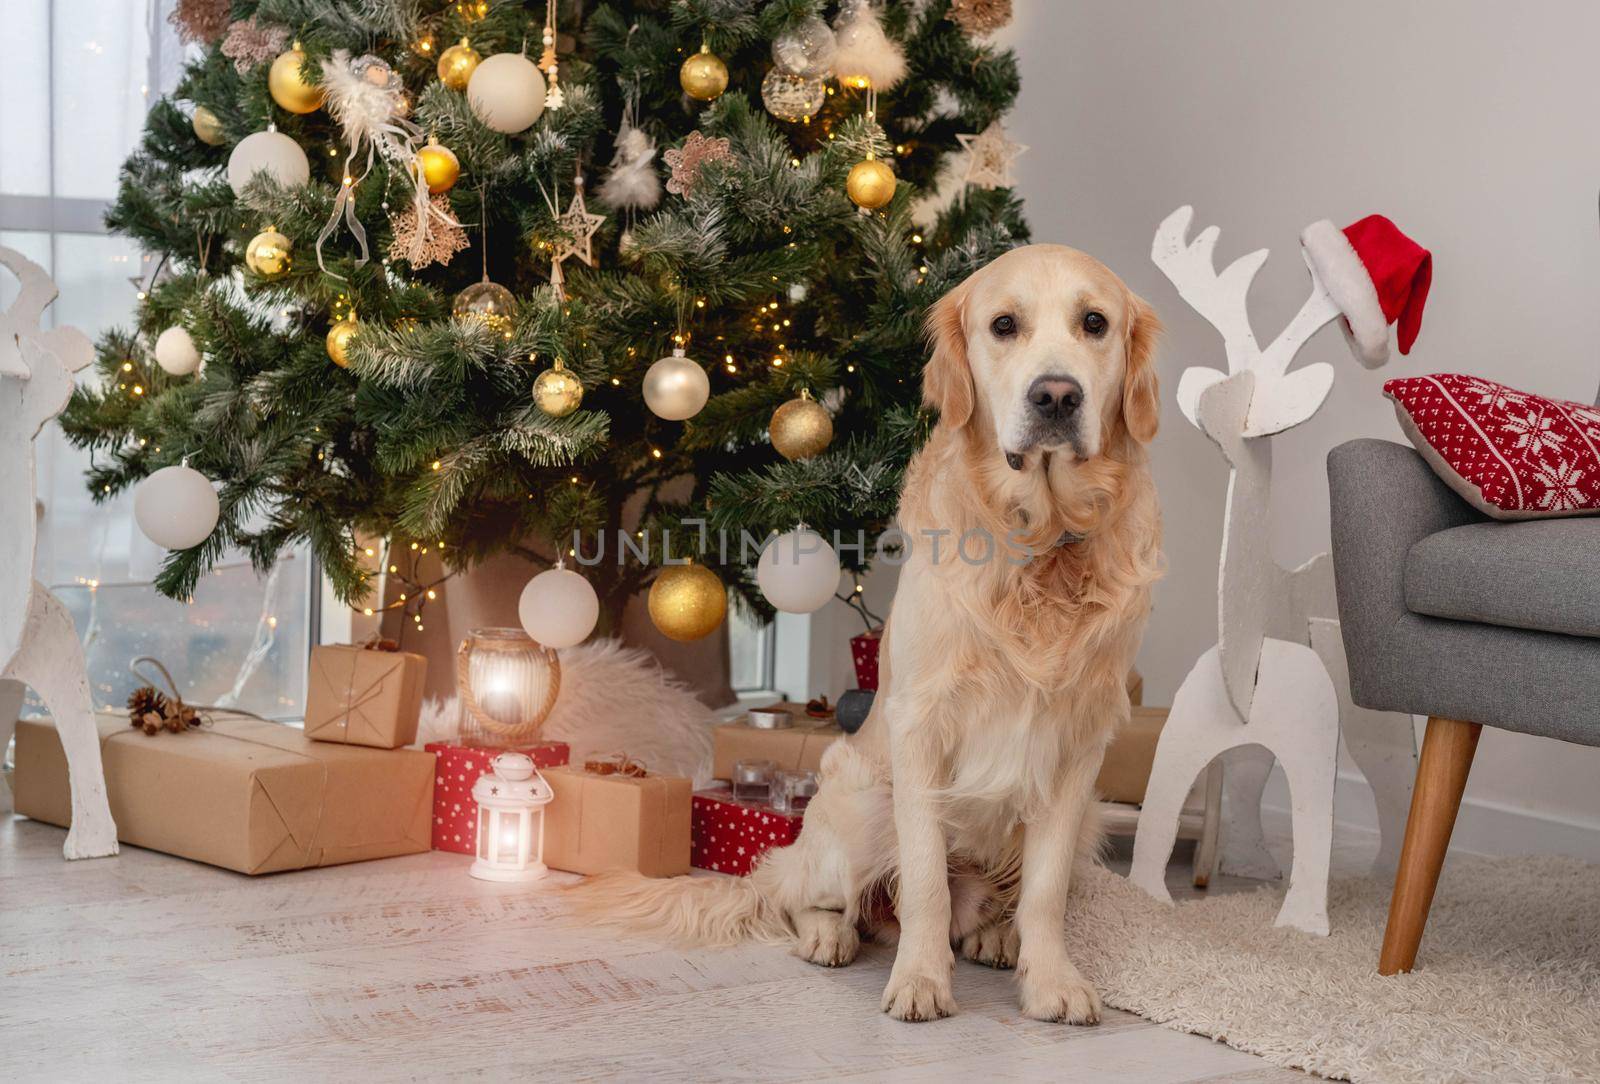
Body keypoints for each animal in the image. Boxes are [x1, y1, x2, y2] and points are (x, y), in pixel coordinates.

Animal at [579, 244, 1164, 1029]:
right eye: (1003, 325)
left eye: (1095, 323)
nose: (1057, 397)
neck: (1039, 551)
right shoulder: (922, 728)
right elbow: (924, 882)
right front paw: (920, 980)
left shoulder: (1079, 744)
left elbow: (1043, 893)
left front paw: (1051, 981)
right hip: (859, 800)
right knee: (807, 896)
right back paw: (831, 934)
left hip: (1092, 821)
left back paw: (994, 934)